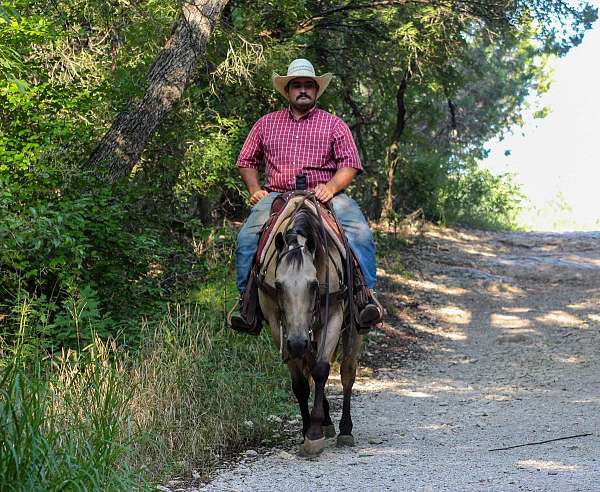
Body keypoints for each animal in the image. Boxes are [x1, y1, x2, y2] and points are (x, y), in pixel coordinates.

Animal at [254, 191, 360, 454]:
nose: (297, 343)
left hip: (352, 328)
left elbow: (321, 370)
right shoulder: (278, 326)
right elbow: (301, 383)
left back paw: (344, 429)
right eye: (278, 285)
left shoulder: (333, 317)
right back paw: (327, 421)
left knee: (347, 372)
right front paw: (307, 429)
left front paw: (313, 434)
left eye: (313, 285)